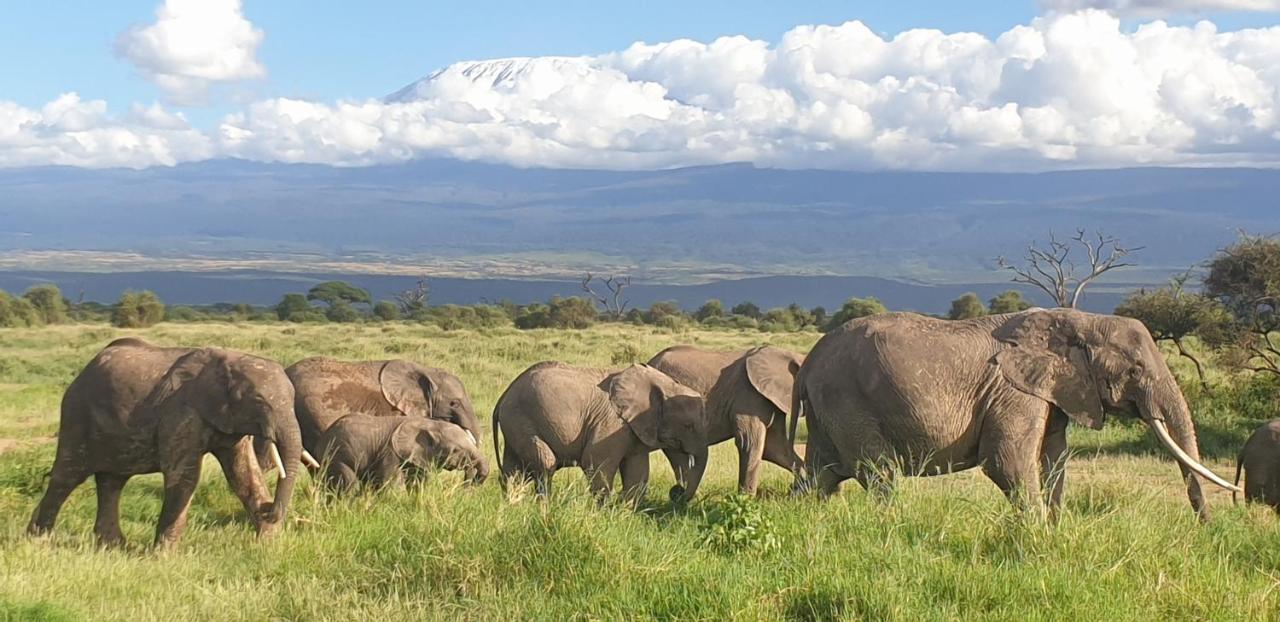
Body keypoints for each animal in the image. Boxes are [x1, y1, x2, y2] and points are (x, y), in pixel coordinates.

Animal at [26, 337, 307, 547]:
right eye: (260, 400)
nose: (268, 508)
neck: (232, 360)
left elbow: (244, 474)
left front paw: (268, 543)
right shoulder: (181, 412)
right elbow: (185, 476)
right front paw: (163, 556)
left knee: (111, 481)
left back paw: (114, 546)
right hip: (77, 414)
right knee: (67, 477)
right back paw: (38, 541)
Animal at [314, 412, 488, 491]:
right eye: (456, 450)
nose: (471, 481)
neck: (430, 424)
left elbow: (418, 482)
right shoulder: (390, 453)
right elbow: (391, 484)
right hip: (335, 457)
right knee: (349, 484)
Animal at [491, 358, 711, 504]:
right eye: (688, 426)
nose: (677, 492)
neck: (661, 384)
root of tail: (504, 395)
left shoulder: (634, 430)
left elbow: (637, 472)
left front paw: (625, 514)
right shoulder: (612, 422)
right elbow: (595, 462)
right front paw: (603, 512)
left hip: (514, 423)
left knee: (513, 470)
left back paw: (512, 506)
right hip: (520, 418)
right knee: (545, 464)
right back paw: (543, 508)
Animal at [650, 345, 798, 496]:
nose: (792, 488)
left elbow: (775, 448)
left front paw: (800, 493)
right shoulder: (748, 395)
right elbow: (749, 442)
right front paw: (745, 498)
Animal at [788, 309, 1239, 519]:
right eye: (1135, 370)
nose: (1206, 527)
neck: (1077, 319)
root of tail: (806, 366)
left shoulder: (1053, 392)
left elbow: (1055, 459)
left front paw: (1057, 530)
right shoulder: (1013, 391)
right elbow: (1007, 462)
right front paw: (1039, 535)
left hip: (830, 411)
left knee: (819, 476)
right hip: (847, 400)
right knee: (878, 474)